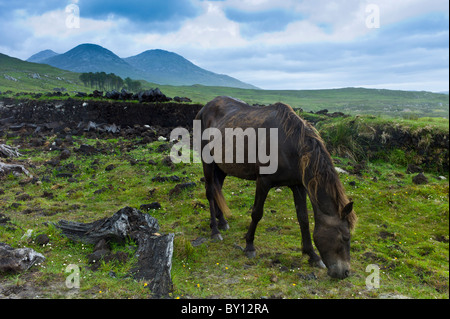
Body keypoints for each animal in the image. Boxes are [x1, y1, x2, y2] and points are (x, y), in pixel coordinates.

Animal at [195, 96, 356, 278]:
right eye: (345, 237)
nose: (345, 273)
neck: (289, 145)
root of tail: (205, 108)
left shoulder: (298, 185)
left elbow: (303, 219)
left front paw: (312, 255)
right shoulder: (264, 182)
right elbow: (257, 213)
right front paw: (249, 246)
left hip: (222, 166)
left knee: (218, 190)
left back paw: (221, 221)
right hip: (208, 162)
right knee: (210, 192)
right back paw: (215, 231)